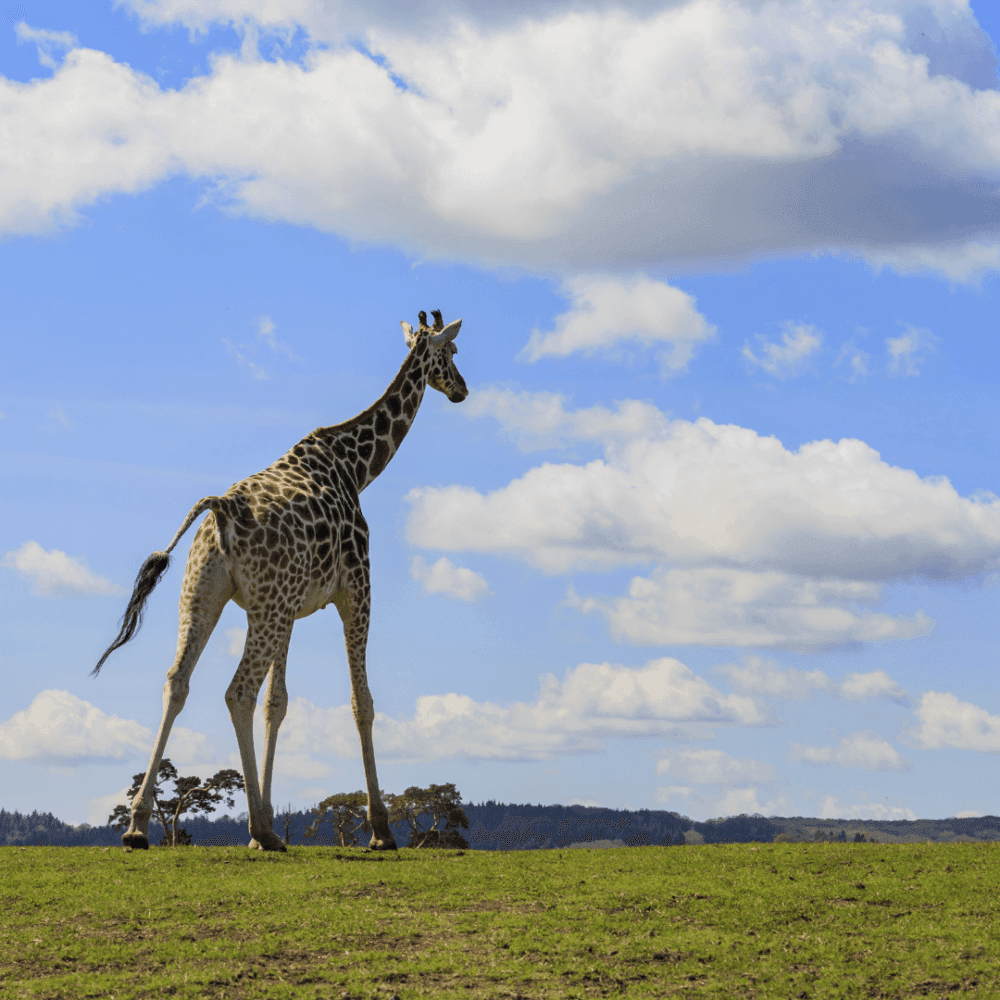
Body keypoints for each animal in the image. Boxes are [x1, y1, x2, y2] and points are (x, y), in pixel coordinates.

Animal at [93, 310, 468, 852]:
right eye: (453, 352)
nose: (462, 389)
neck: (357, 467)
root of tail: (221, 509)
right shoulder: (356, 591)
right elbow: (361, 703)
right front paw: (380, 830)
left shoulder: (289, 608)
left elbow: (278, 703)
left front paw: (269, 811)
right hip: (263, 609)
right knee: (236, 692)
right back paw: (261, 830)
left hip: (202, 598)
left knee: (177, 682)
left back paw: (141, 825)